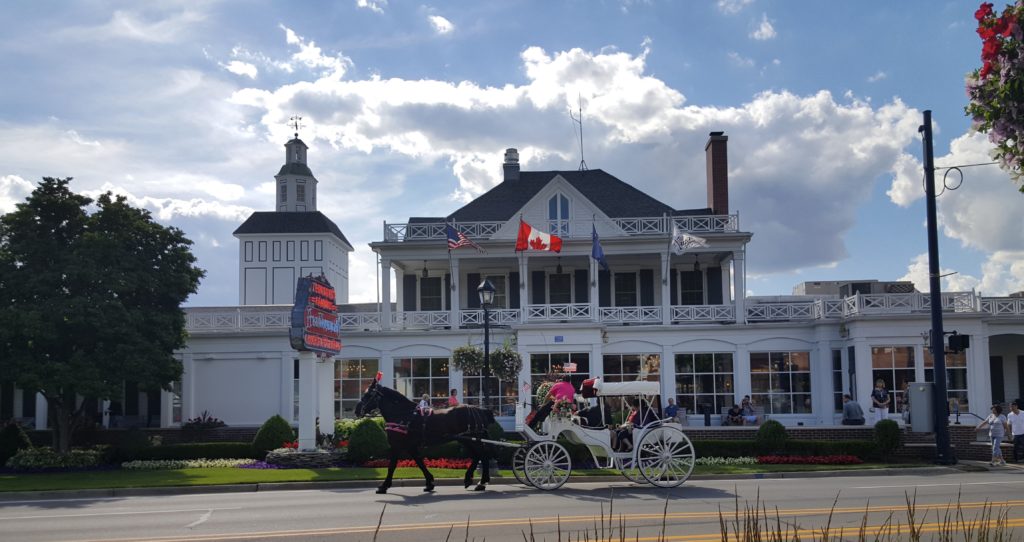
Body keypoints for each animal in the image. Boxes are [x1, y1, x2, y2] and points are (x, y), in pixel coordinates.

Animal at [352, 381, 495, 493]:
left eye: (368, 395)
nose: (357, 410)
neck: (404, 415)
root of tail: (481, 410)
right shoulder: (411, 446)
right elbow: (420, 462)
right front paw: (429, 483)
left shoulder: (397, 445)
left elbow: (392, 465)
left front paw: (384, 486)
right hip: (466, 440)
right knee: (478, 455)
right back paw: (472, 479)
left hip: (472, 439)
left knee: (483, 455)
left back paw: (481, 482)